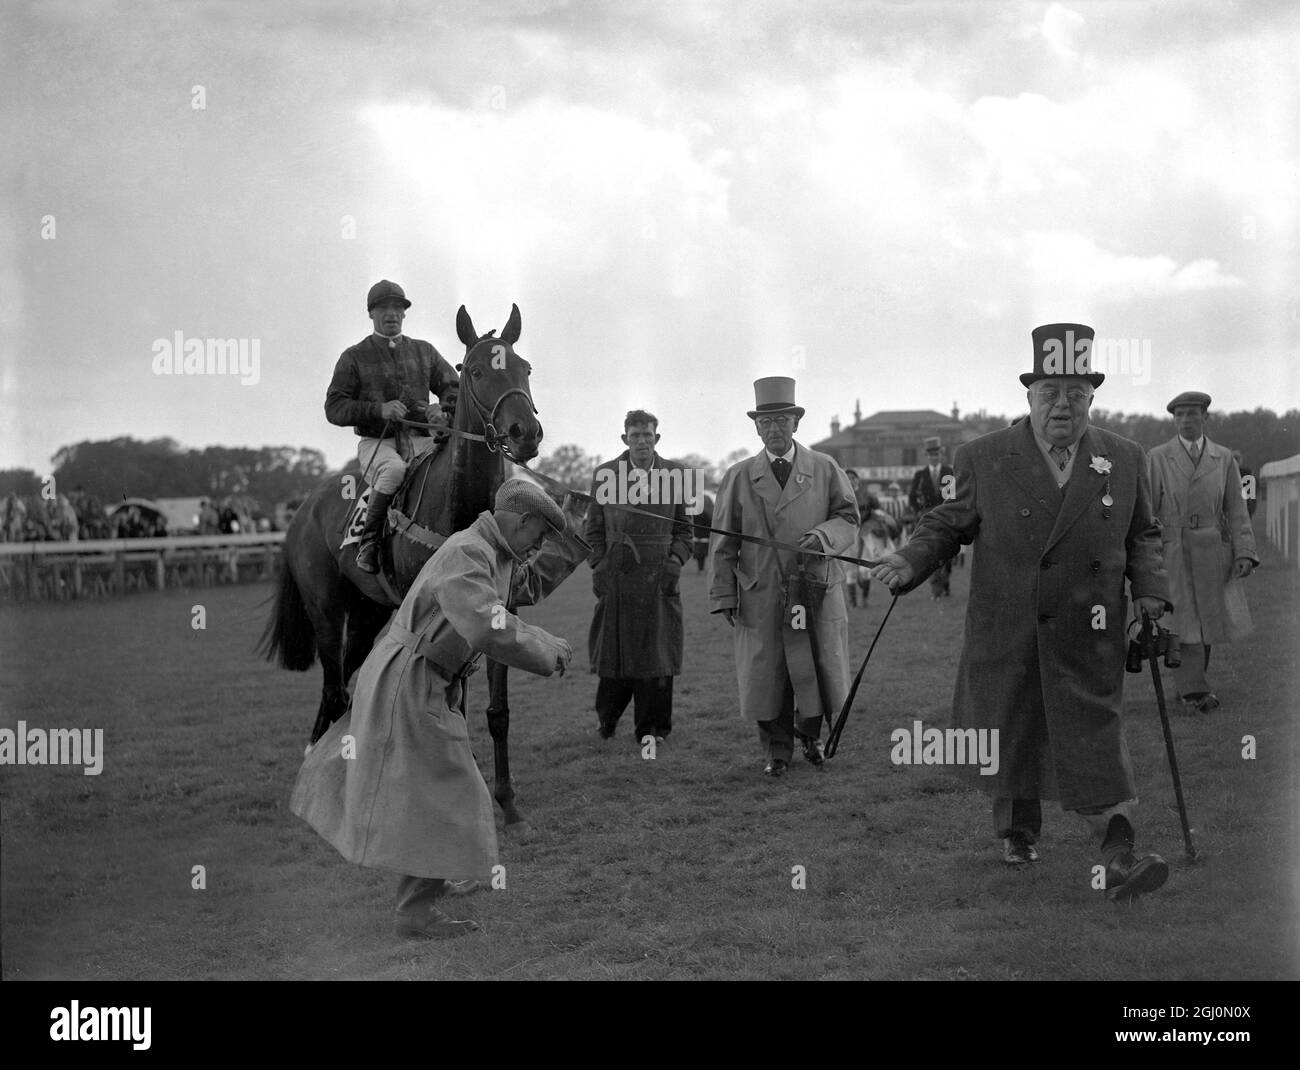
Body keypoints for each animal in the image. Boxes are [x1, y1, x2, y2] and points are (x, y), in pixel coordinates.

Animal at [261, 305, 540, 832]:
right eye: (476, 371)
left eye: (525, 368)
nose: (525, 434)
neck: (466, 518)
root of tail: (303, 509)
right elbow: (453, 704)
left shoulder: (501, 611)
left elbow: (498, 710)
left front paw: (509, 802)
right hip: (326, 612)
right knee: (333, 685)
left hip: (368, 614)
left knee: (343, 685)